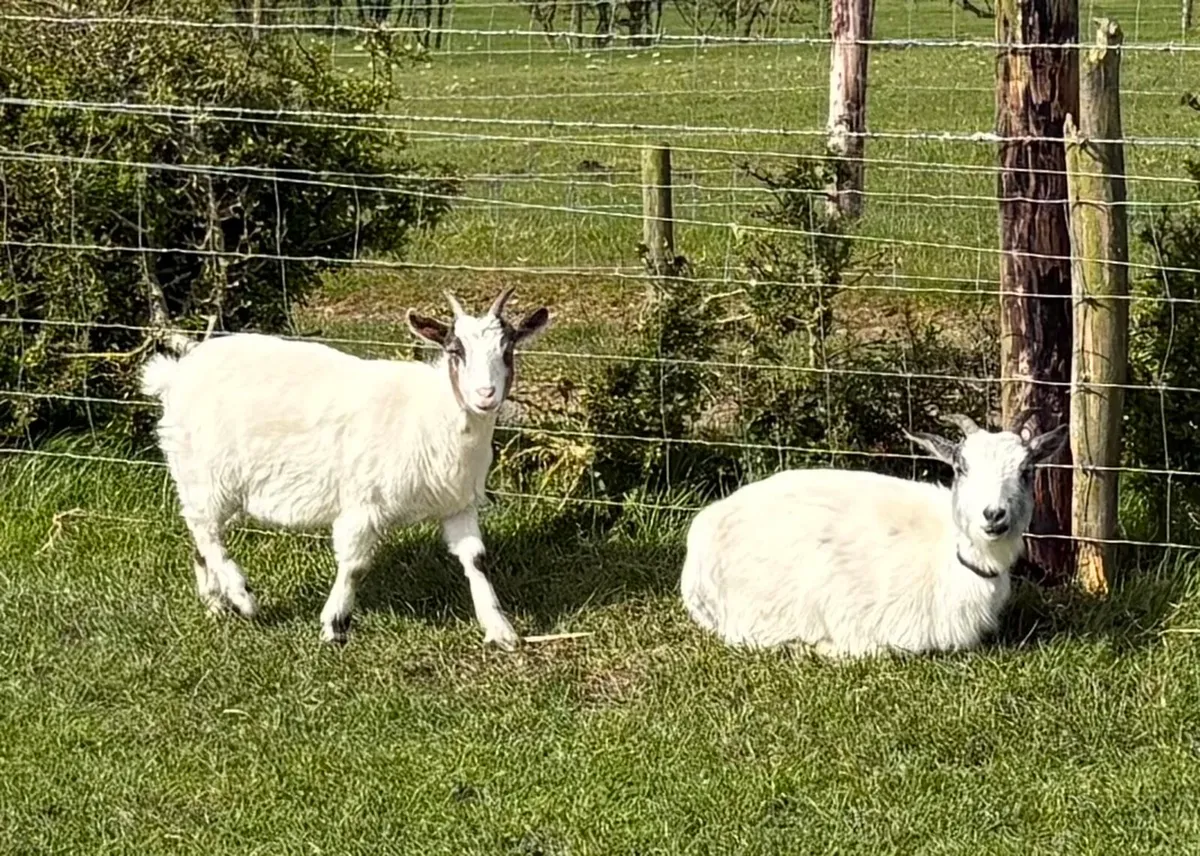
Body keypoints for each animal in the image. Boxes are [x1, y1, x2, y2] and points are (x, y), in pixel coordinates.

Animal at [140, 286, 550, 649]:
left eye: (508, 349)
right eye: (455, 350)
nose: (485, 395)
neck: (432, 411)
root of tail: (174, 375)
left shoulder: (457, 503)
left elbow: (475, 559)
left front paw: (501, 630)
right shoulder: (362, 503)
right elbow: (354, 564)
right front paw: (335, 625)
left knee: (202, 535)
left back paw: (215, 602)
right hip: (204, 472)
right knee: (204, 529)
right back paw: (242, 596)